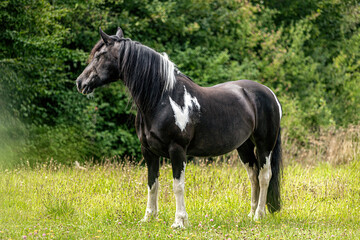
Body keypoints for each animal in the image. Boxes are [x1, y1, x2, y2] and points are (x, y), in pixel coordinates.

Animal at [76, 27, 284, 228]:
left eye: (99, 55)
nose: (80, 82)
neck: (162, 99)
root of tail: (269, 93)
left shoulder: (177, 150)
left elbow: (178, 186)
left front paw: (179, 222)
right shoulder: (149, 152)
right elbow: (152, 184)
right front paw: (149, 218)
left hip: (264, 145)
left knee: (265, 176)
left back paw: (259, 215)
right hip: (244, 146)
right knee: (253, 175)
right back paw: (250, 214)